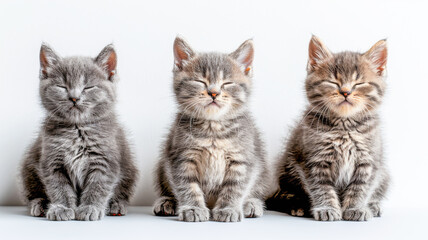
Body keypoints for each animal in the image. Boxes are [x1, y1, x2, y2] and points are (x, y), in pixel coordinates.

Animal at [20, 43, 137, 221]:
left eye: (88, 87)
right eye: (62, 86)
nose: (74, 98)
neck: (77, 128)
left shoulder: (105, 161)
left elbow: (98, 186)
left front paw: (90, 208)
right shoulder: (52, 161)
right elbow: (58, 187)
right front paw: (61, 208)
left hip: (130, 168)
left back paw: (116, 205)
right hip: (28, 166)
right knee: (32, 192)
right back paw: (40, 205)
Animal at [152, 36, 270, 222]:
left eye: (227, 83)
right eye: (200, 81)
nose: (214, 93)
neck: (213, 128)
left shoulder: (243, 159)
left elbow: (235, 187)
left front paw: (228, 209)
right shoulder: (180, 157)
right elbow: (186, 185)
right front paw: (193, 208)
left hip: (262, 167)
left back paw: (251, 204)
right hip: (161, 166)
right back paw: (166, 202)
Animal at [268, 36, 392, 222]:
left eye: (359, 83)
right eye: (333, 82)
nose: (345, 92)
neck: (344, 126)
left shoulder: (369, 160)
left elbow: (361, 187)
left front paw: (355, 208)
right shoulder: (313, 160)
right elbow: (321, 187)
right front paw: (327, 208)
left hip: (384, 175)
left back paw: (372, 206)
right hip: (287, 168)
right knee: (288, 194)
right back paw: (299, 207)